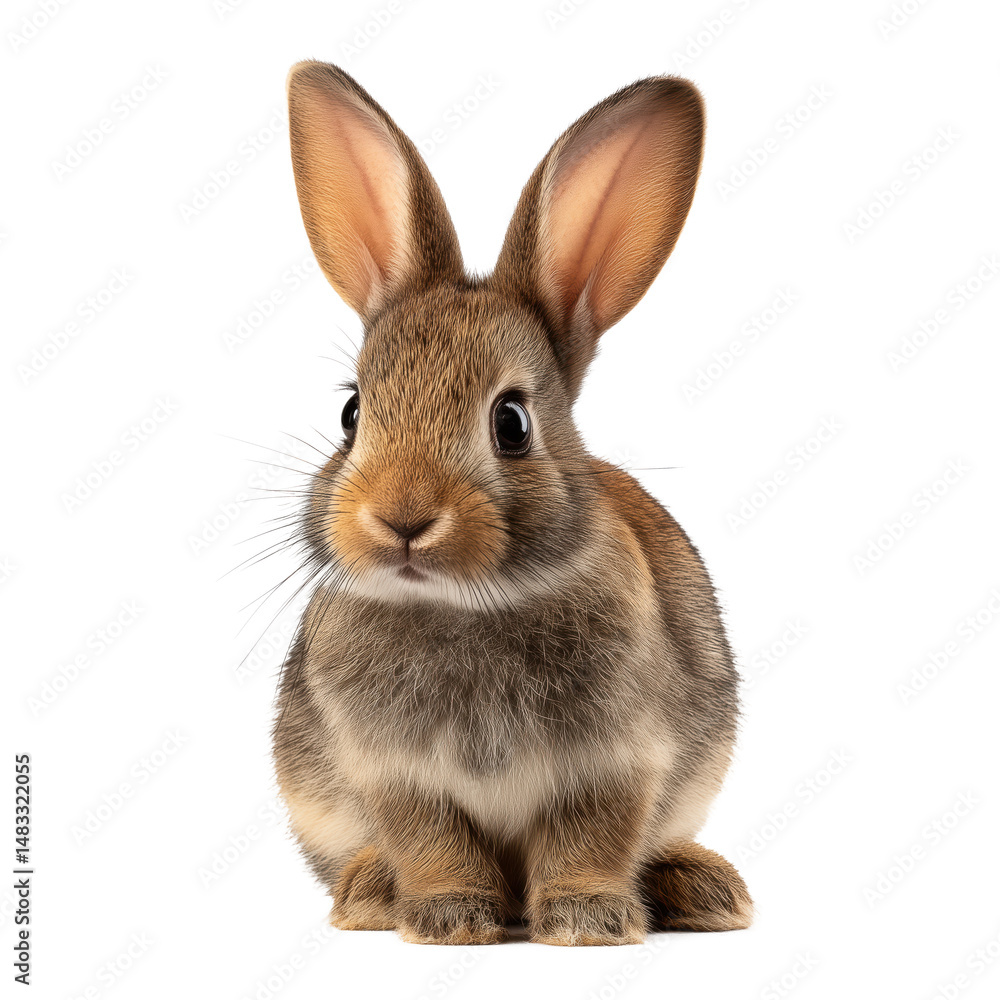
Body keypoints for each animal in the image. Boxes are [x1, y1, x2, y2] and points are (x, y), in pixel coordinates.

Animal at [271, 59, 753, 946]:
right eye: (354, 413)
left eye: (512, 423)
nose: (402, 519)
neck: (468, 605)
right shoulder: (397, 776)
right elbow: (431, 840)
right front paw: (450, 918)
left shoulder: (617, 763)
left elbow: (591, 837)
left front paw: (586, 919)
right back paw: (368, 892)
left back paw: (703, 890)